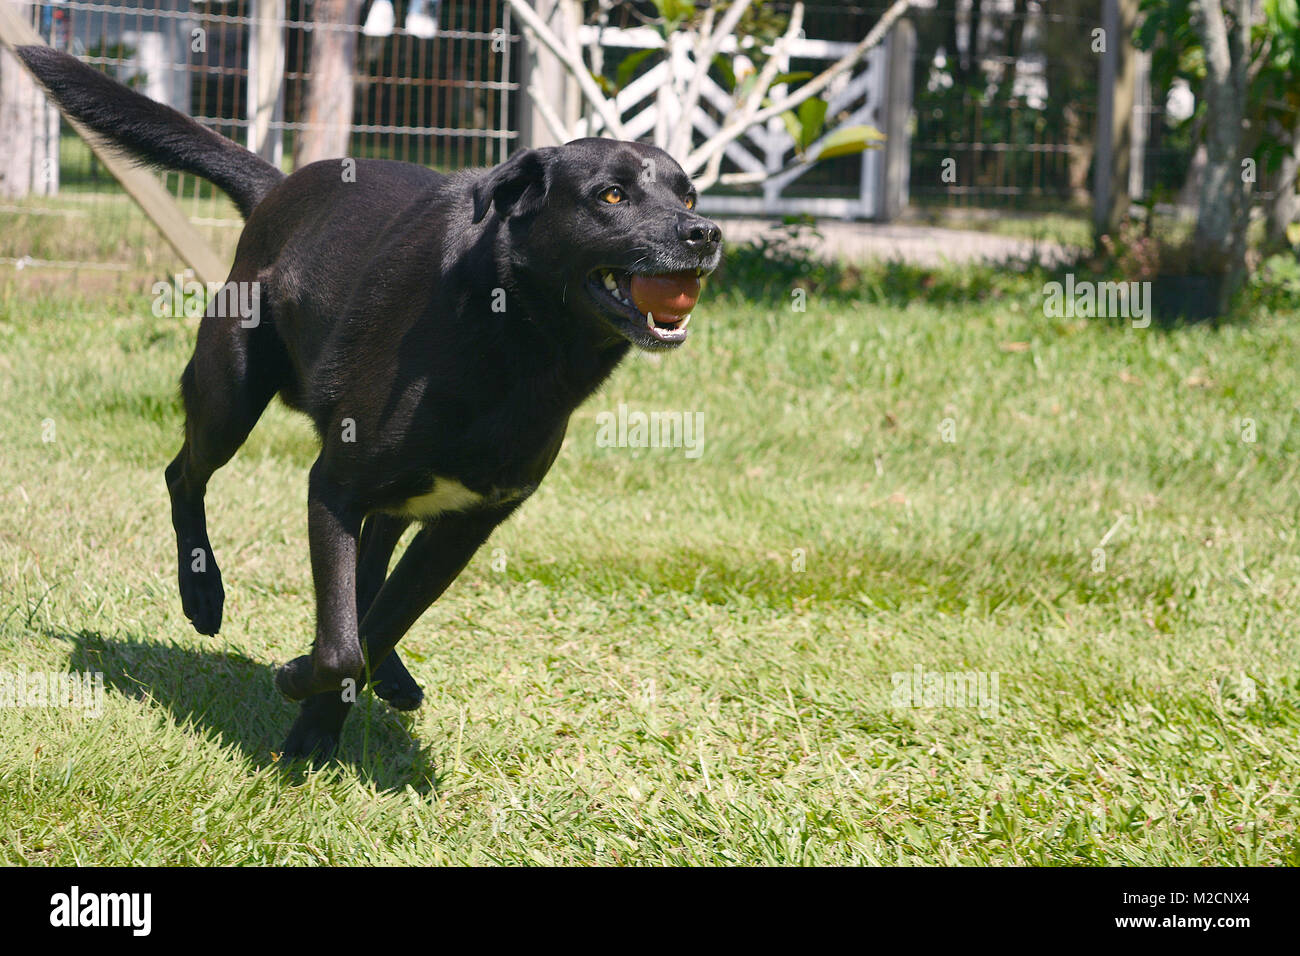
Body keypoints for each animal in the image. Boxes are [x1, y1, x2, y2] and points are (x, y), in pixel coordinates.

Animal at [17, 46, 722, 764]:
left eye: (688, 194)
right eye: (612, 195)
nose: (706, 233)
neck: (516, 340)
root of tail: (278, 187)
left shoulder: (461, 529)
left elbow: (372, 632)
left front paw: (317, 727)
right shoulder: (333, 486)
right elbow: (341, 647)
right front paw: (300, 686)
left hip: (386, 493)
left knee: (366, 576)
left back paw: (388, 676)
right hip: (231, 393)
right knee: (183, 474)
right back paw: (203, 593)